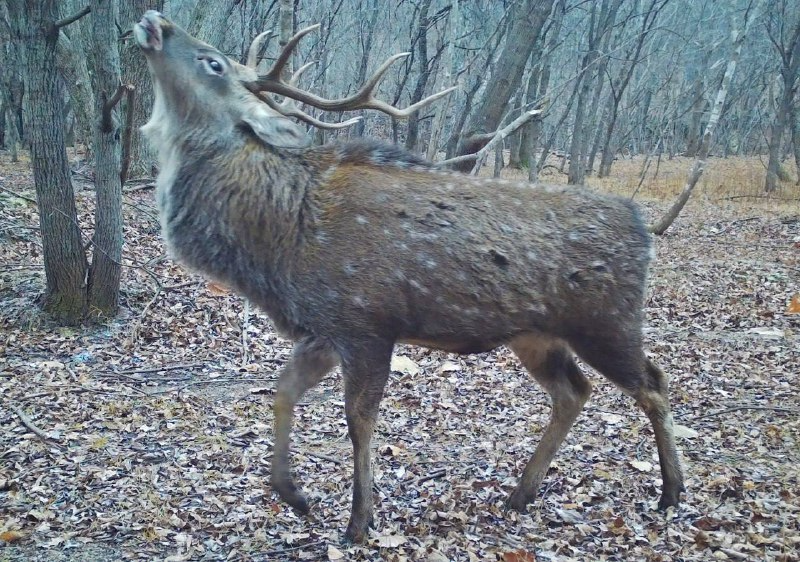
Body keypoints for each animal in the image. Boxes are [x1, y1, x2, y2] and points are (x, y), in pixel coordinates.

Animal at [134, 9, 684, 544]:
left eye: (212, 62)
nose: (154, 20)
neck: (281, 236)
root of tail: (643, 227)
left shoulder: (366, 322)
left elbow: (359, 419)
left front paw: (359, 521)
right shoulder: (323, 329)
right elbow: (284, 390)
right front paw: (294, 496)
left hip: (606, 322)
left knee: (653, 382)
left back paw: (671, 492)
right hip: (535, 335)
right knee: (573, 391)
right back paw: (520, 495)